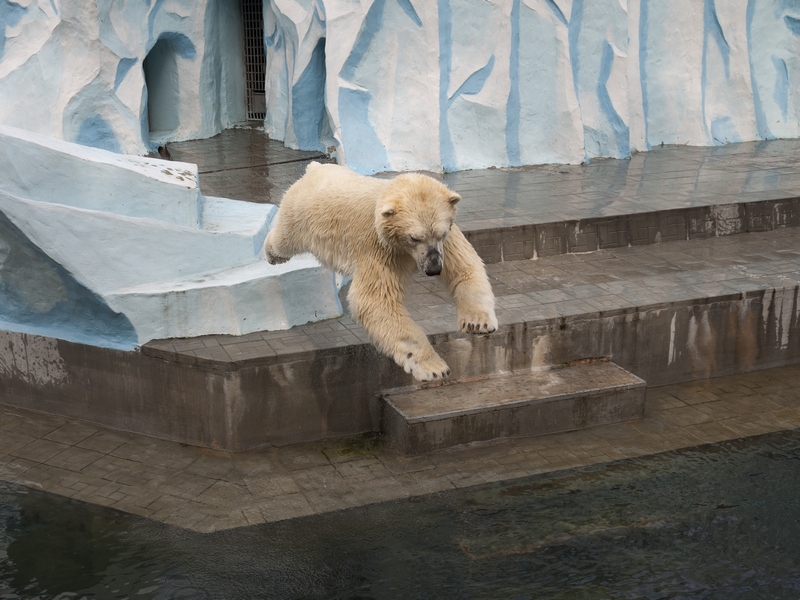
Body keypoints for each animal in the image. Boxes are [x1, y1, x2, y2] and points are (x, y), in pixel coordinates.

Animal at [266, 162, 496, 382]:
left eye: (442, 232)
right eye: (415, 237)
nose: (434, 269)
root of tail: (315, 167)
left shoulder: (446, 244)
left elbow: (465, 268)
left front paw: (477, 323)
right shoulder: (379, 247)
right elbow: (375, 301)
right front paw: (434, 368)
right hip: (300, 212)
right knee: (284, 239)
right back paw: (272, 253)